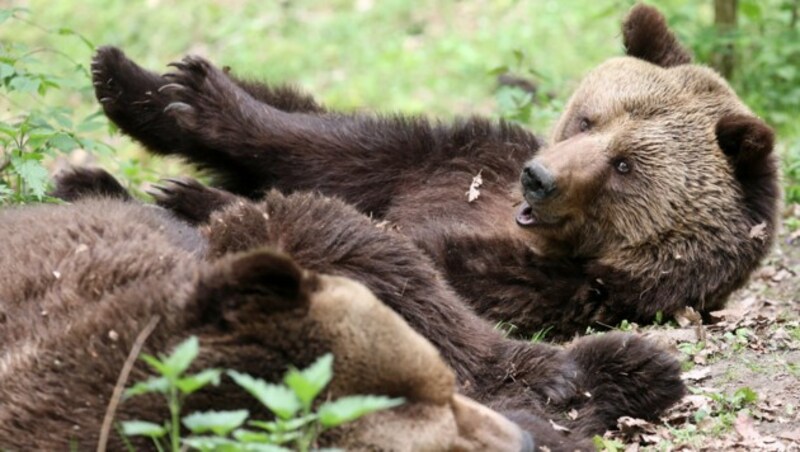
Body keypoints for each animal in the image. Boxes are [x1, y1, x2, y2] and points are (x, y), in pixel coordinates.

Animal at [86, 4, 776, 340]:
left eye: (626, 165)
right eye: (588, 119)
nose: (539, 178)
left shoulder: (558, 287)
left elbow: (385, 250)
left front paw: (200, 202)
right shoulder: (458, 157)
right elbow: (332, 146)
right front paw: (170, 90)